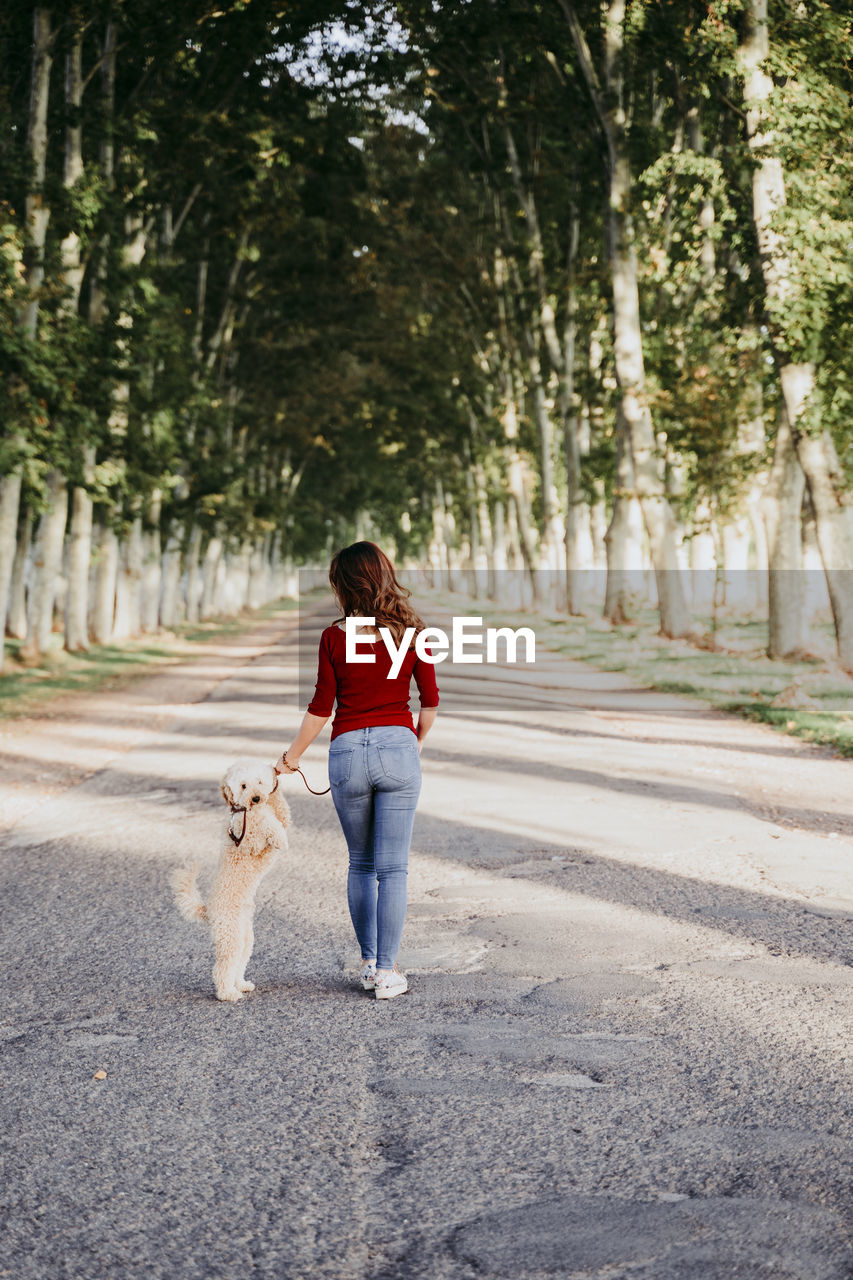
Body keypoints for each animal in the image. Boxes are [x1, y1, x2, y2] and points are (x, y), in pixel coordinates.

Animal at [171, 757, 290, 998]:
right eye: (243, 786)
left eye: (259, 781)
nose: (256, 798)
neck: (245, 810)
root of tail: (207, 910)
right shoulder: (249, 839)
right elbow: (267, 825)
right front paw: (281, 839)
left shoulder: (278, 815)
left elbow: (281, 813)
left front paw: (276, 782)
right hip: (229, 934)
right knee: (222, 968)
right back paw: (228, 994)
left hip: (245, 936)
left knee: (238, 962)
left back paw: (241, 985)